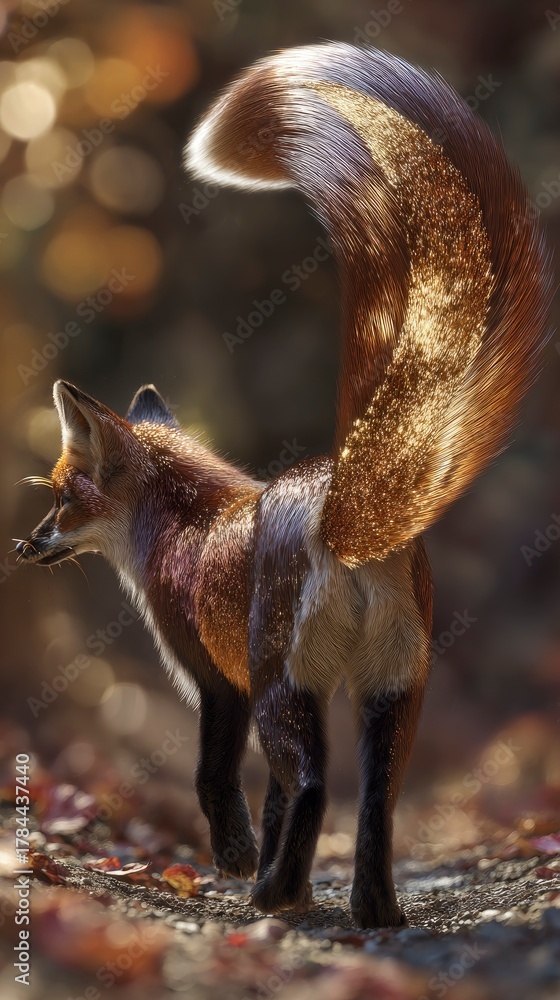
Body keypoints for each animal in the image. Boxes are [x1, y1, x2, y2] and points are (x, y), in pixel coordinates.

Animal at [16, 43, 552, 928]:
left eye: (62, 494)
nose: (25, 545)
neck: (187, 529)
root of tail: (343, 510)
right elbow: (273, 803)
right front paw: (278, 874)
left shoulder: (215, 680)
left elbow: (215, 781)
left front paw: (240, 862)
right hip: (390, 697)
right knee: (373, 804)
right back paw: (369, 910)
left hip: (284, 688)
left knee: (312, 788)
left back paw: (275, 897)